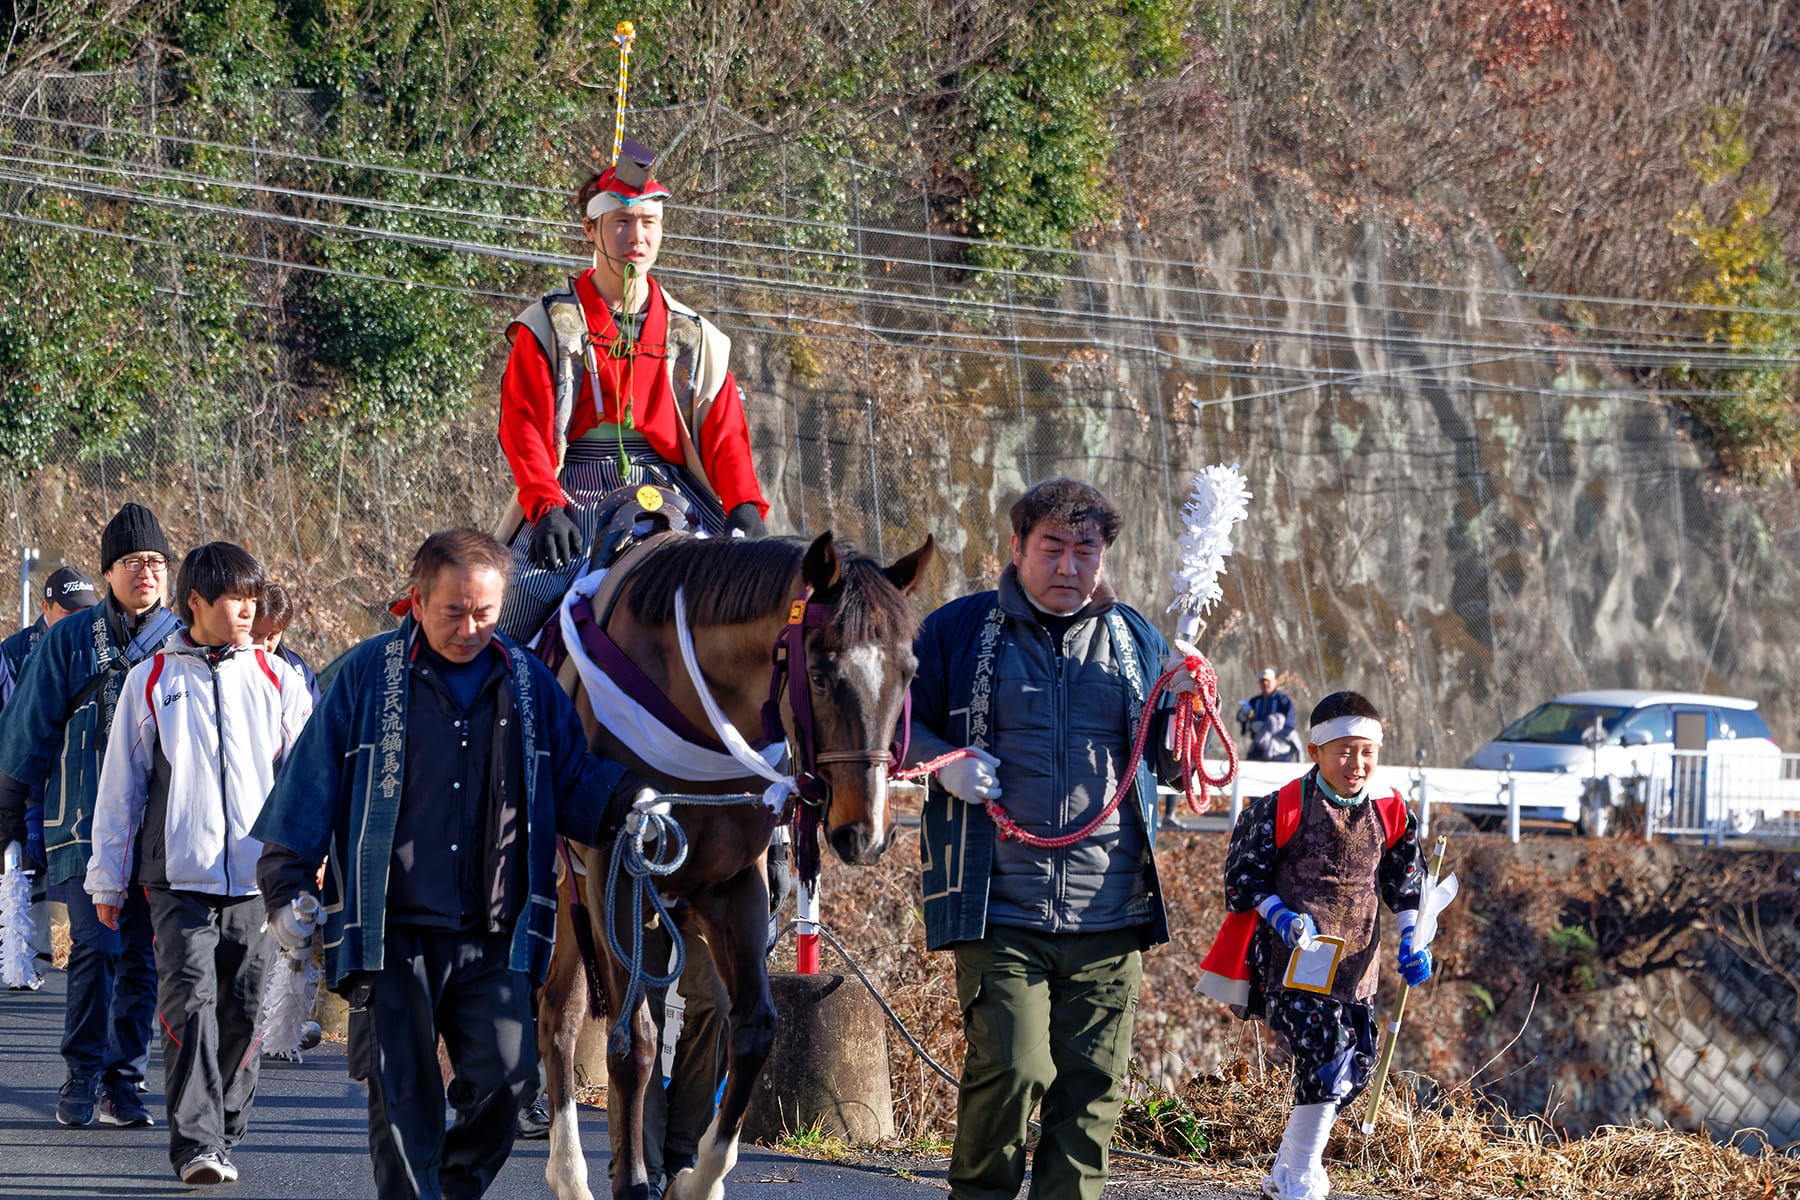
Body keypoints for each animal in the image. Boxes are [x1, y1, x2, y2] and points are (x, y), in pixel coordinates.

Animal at [532, 525, 928, 1200]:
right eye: (820, 674)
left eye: (908, 674)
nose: (864, 831)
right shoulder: (619, 874)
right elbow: (633, 1044)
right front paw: (636, 1181)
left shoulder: (732, 884)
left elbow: (752, 1032)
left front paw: (699, 1178)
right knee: (562, 1015)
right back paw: (573, 1172)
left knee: (563, 1011)